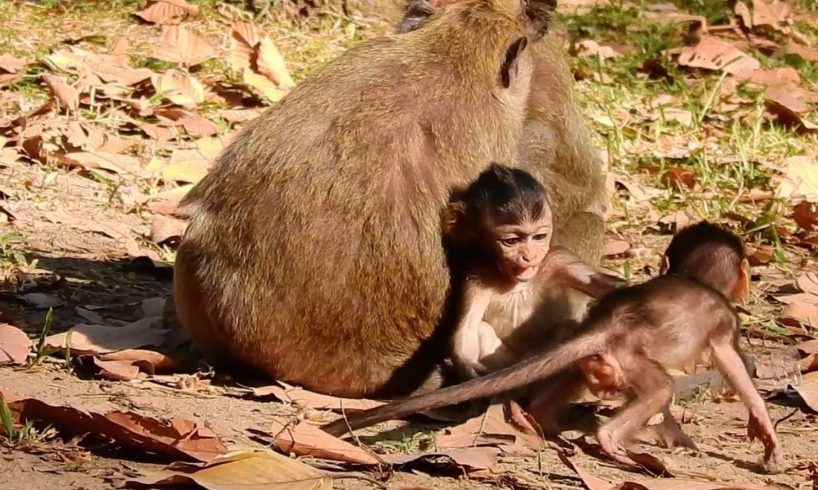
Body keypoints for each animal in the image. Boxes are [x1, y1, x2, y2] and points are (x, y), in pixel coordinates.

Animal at [326, 222, 784, 474]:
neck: (697, 280)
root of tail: (607, 327)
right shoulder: (726, 320)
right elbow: (730, 360)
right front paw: (763, 426)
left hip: (592, 358)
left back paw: (542, 422)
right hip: (628, 359)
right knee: (659, 389)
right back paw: (610, 439)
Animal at [440, 164, 624, 378]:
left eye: (539, 237)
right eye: (511, 241)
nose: (529, 256)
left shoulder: (556, 260)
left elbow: (601, 285)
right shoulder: (477, 277)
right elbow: (467, 329)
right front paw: (467, 366)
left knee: (564, 327)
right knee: (483, 329)